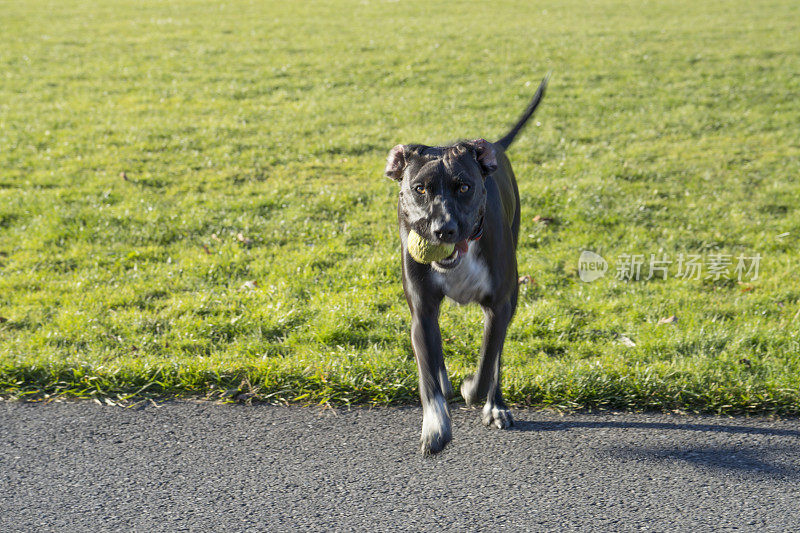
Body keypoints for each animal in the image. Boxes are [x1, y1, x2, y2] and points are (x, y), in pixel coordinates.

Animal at [382, 75, 548, 454]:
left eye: (464, 187)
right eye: (419, 189)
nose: (443, 229)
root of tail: (493, 145)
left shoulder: (499, 306)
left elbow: (488, 363)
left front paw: (474, 390)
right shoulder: (422, 311)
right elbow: (428, 375)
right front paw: (435, 426)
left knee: (496, 359)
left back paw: (495, 405)